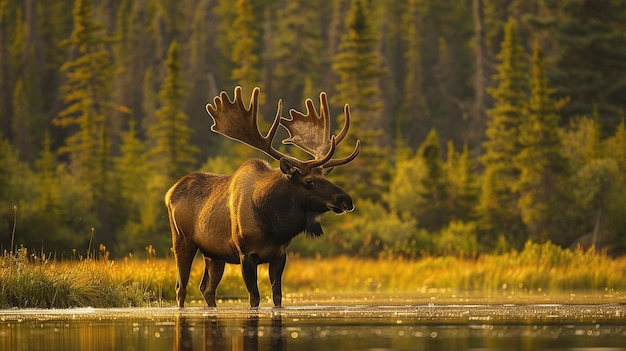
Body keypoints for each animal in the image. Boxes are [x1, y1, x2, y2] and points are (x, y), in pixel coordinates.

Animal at [165, 87, 360, 308]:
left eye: (325, 176)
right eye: (309, 181)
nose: (346, 199)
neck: (275, 226)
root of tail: (170, 192)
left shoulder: (280, 254)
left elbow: (277, 297)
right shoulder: (246, 253)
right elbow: (254, 297)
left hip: (214, 254)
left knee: (206, 288)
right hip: (182, 241)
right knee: (181, 287)